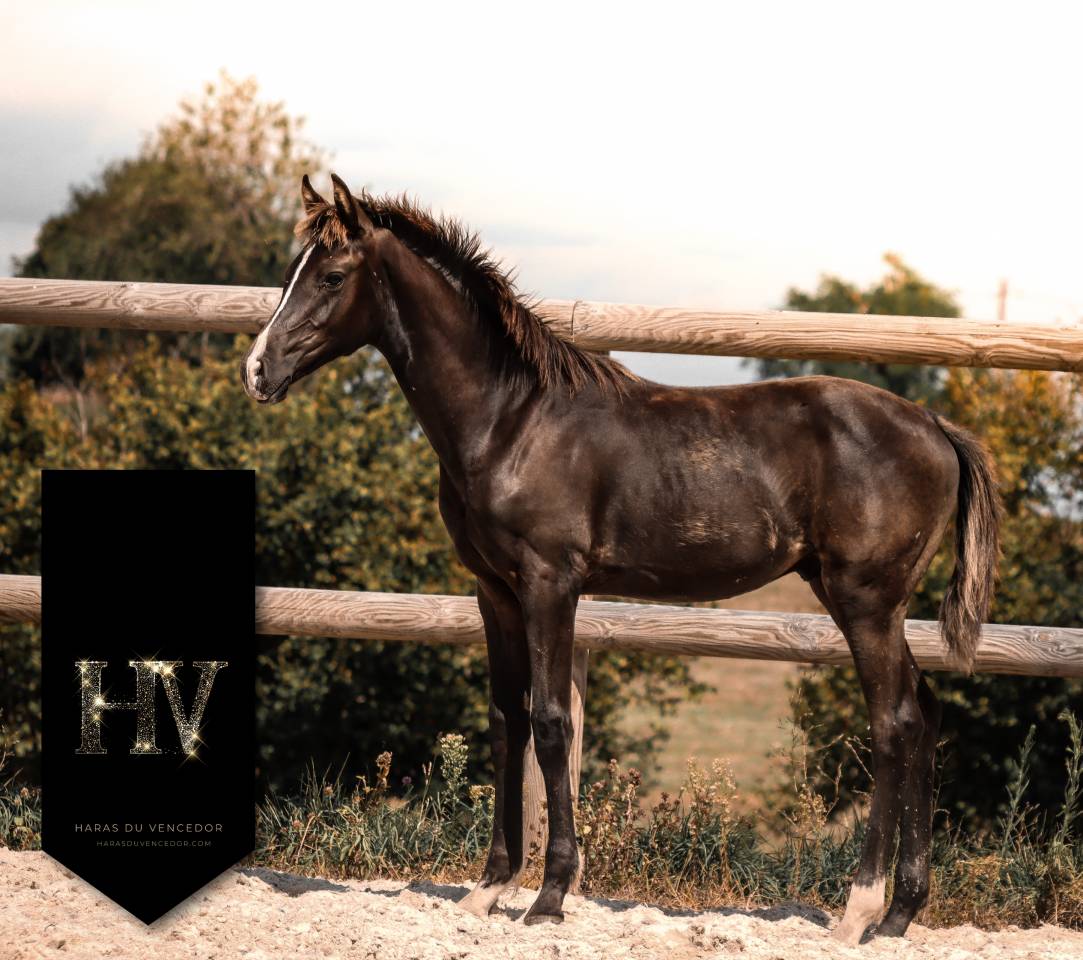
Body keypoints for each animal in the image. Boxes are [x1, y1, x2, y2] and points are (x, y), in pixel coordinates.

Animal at [240, 173, 1001, 944]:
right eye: (291, 271)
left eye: (332, 276)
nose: (256, 371)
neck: (512, 421)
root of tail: (934, 426)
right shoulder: (496, 591)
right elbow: (507, 722)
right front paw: (487, 889)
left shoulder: (550, 583)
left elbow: (552, 723)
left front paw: (549, 895)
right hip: (870, 602)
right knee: (924, 711)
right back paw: (901, 913)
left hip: (864, 600)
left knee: (893, 723)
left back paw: (859, 909)